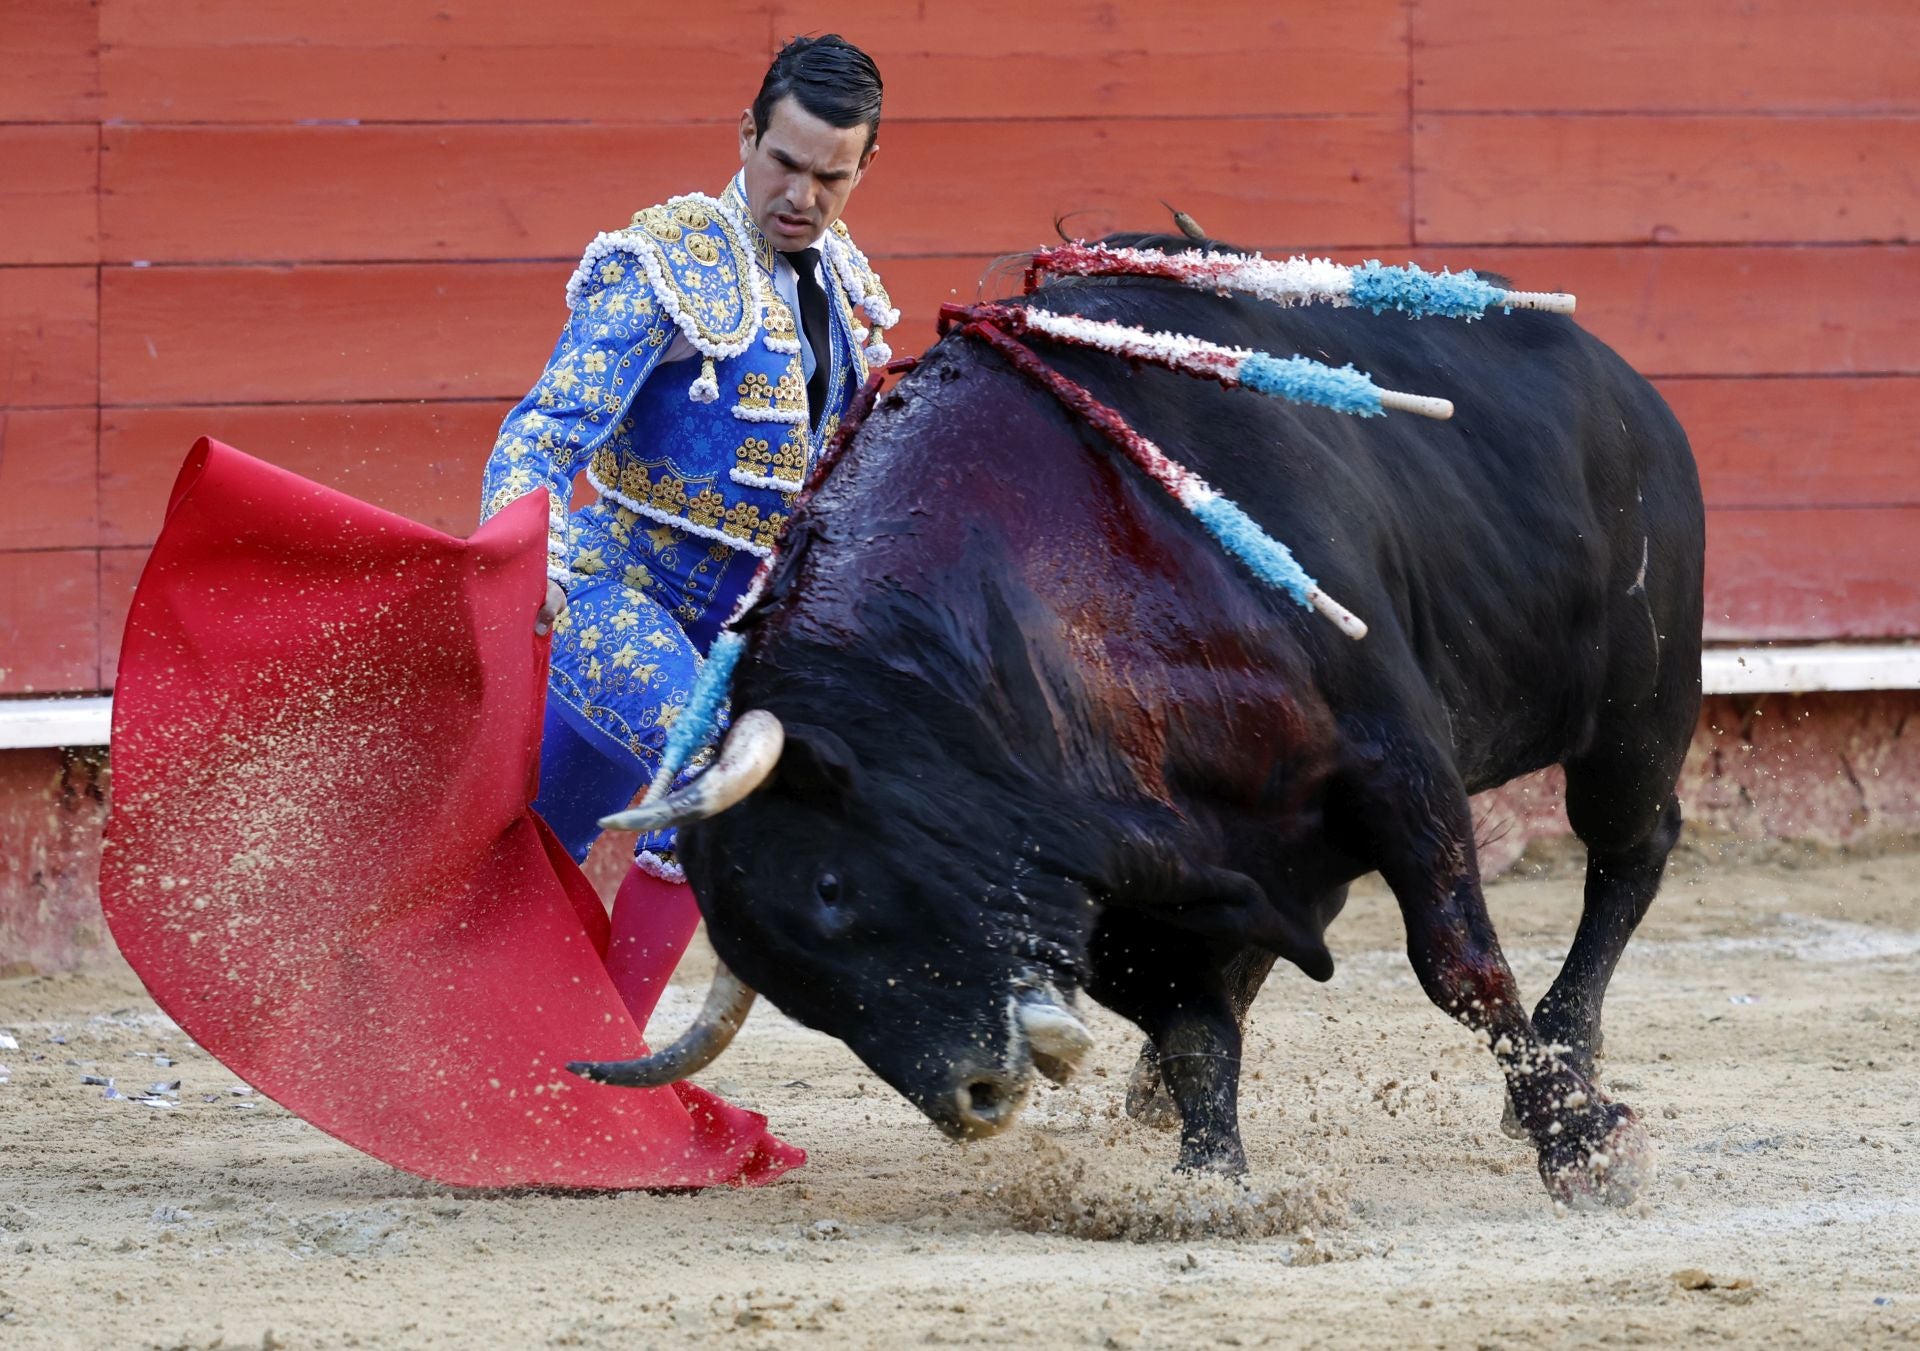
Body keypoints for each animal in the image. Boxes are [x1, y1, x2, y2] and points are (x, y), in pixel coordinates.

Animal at [606, 237, 1704, 1205]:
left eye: (832, 887)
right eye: (794, 986)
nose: (972, 1096)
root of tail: (1624, 382)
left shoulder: (1399, 763)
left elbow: (1460, 968)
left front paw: (1584, 1145)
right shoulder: (1114, 885)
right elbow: (1193, 1025)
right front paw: (1208, 1178)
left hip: (1638, 711)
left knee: (1633, 850)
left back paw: (1569, 1054)